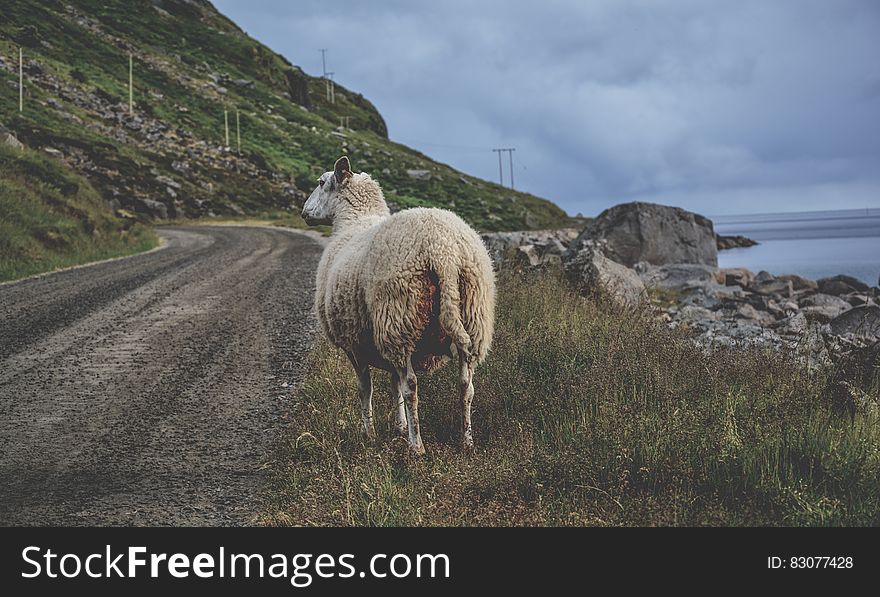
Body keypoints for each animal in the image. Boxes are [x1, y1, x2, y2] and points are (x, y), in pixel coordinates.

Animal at [302, 156, 496, 454]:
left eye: (322, 182)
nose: (304, 212)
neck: (354, 220)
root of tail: (443, 251)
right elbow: (393, 383)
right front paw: (399, 426)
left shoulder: (354, 342)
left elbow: (366, 387)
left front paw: (368, 432)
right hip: (472, 318)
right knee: (466, 385)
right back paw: (466, 440)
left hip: (399, 317)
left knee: (412, 387)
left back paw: (417, 447)